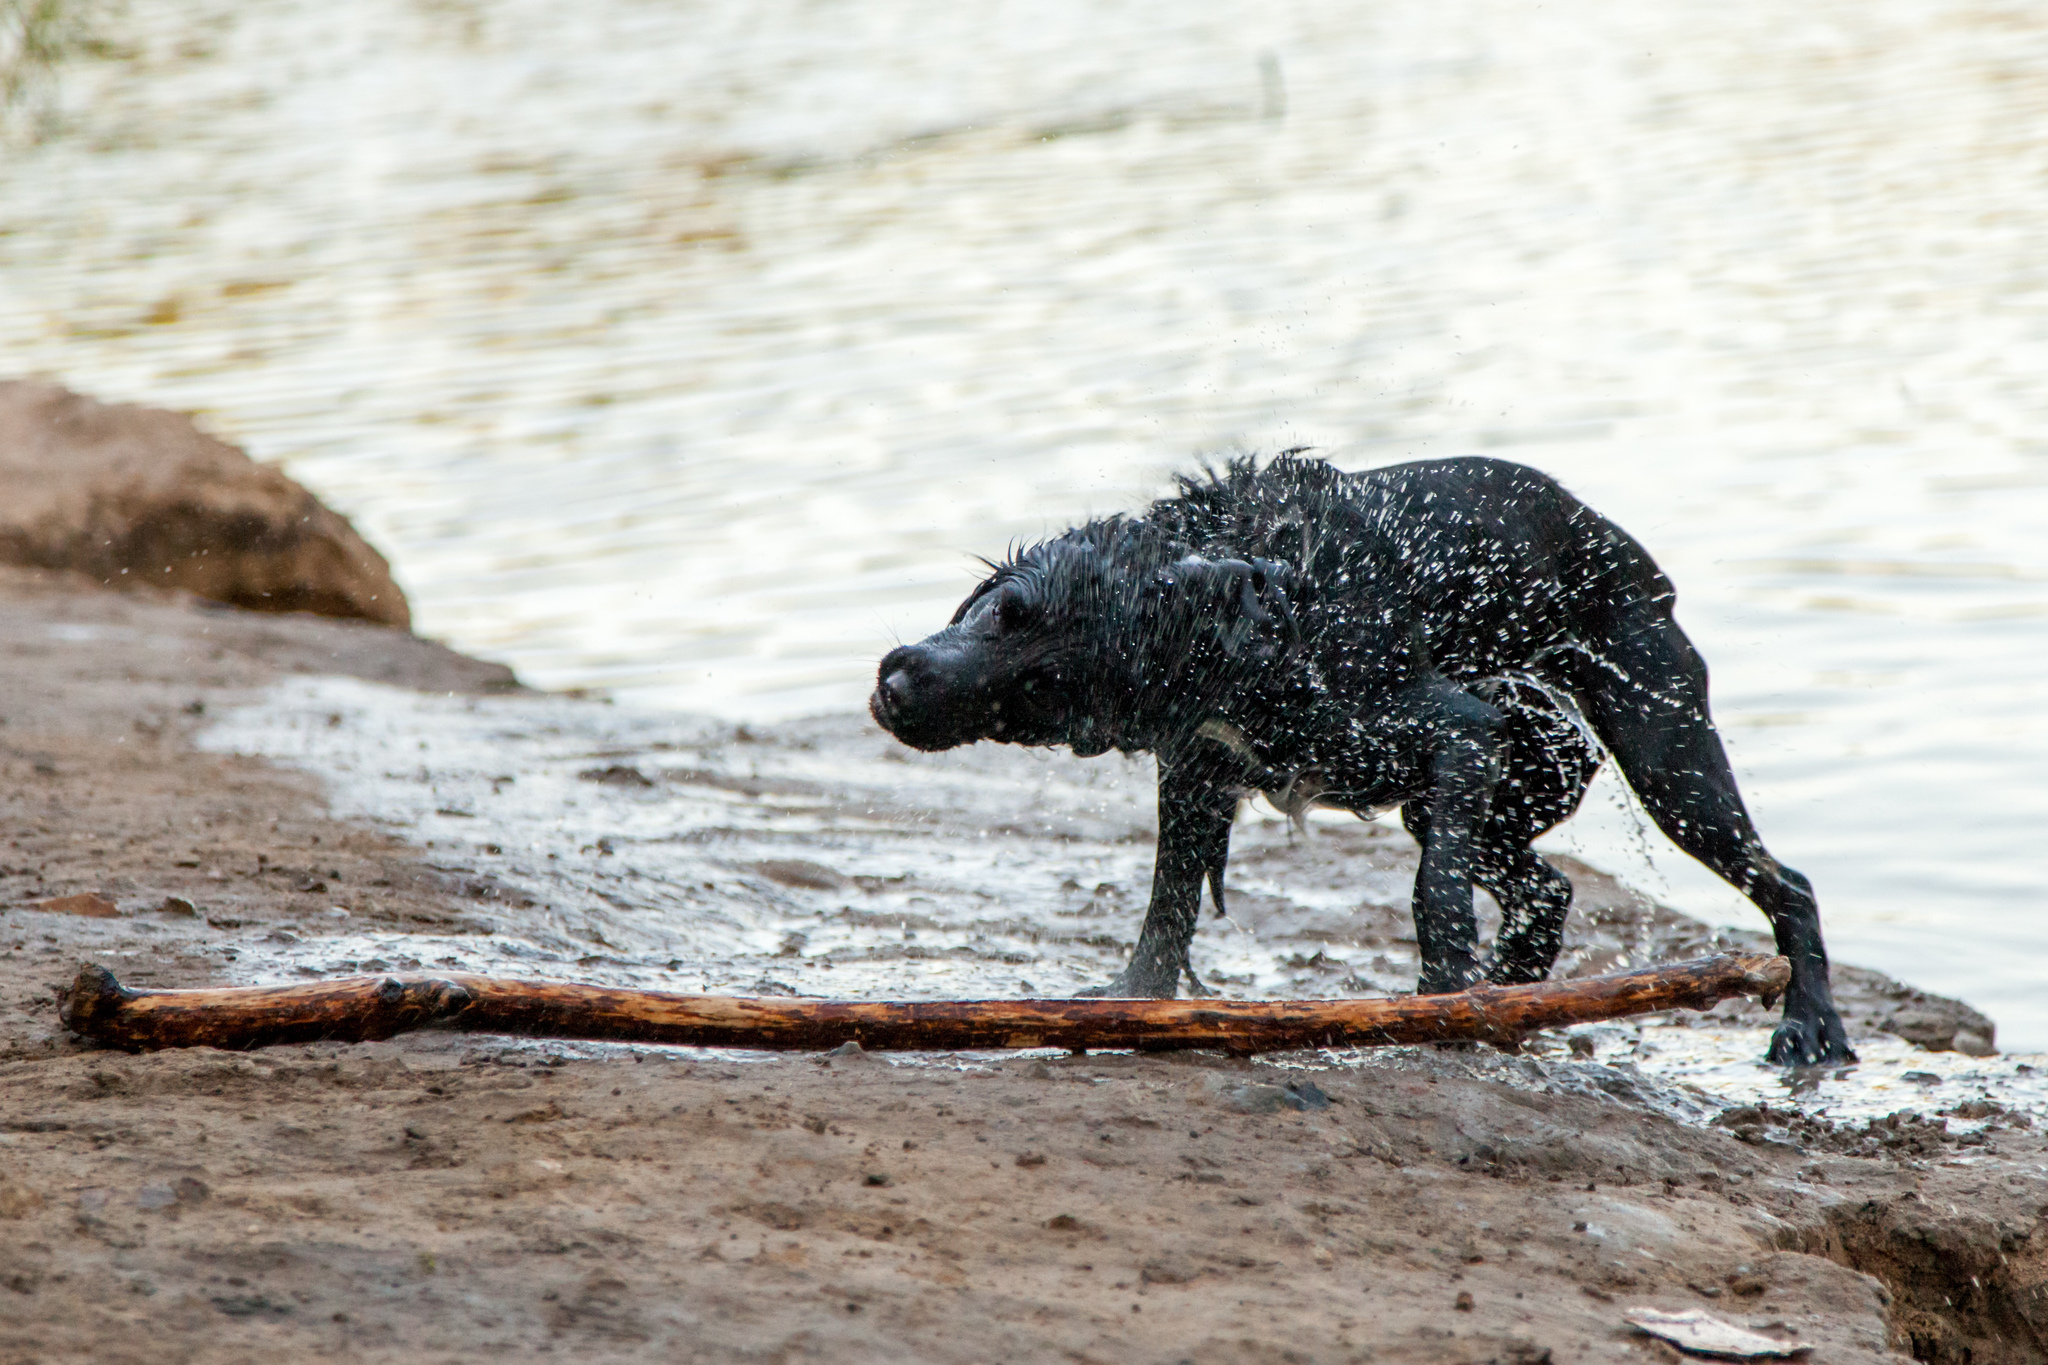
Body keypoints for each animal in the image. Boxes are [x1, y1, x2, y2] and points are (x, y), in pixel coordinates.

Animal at [864, 458, 1859, 1064]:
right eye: (1002, 616)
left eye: (1038, 685)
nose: (900, 684)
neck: (1259, 608)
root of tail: (1617, 543)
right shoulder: (1194, 772)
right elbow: (1166, 909)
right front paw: (1133, 1002)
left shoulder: (1461, 732)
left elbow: (1432, 895)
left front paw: (1441, 997)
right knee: (1548, 891)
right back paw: (1515, 992)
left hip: (1663, 757)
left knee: (1788, 882)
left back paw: (1809, 1021)